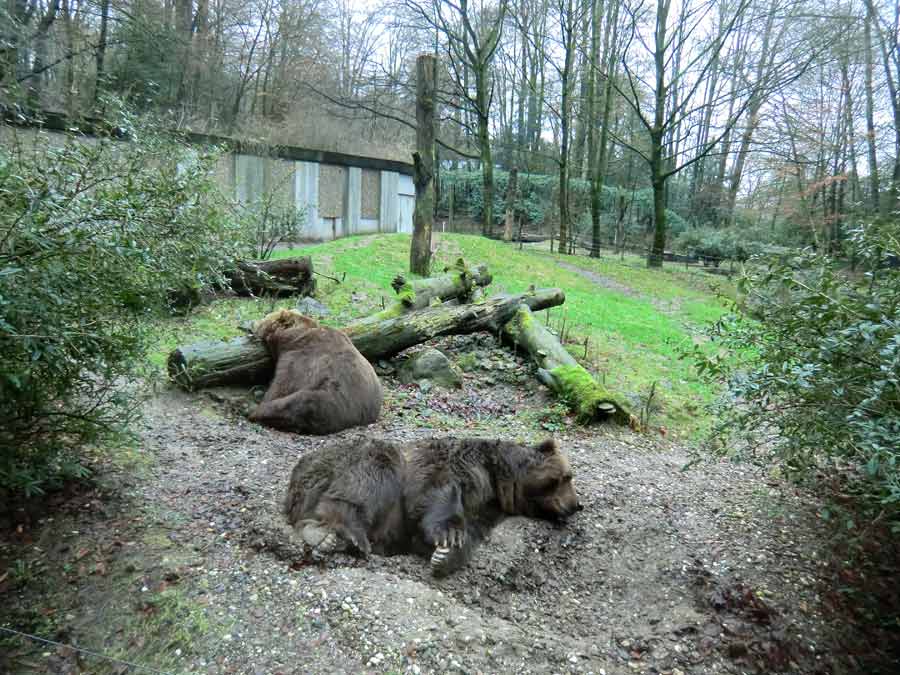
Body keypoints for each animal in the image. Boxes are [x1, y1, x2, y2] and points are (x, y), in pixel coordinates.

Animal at [250, 310, 384, 436]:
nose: (252, 323)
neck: (292, 338)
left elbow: (282, 385)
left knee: (297, 404)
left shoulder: (300, 357)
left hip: (329, 398)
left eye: (265, 317)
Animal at [284, 438, 584, 576]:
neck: (498, 481)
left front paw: (445, 555)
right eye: (568, 477)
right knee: (366, 480)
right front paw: (447, 535)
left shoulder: (486, 510)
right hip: (352, 462)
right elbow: (436, 493)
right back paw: (346, 534)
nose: (576, 505)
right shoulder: (452, 464)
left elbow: (469, 533)